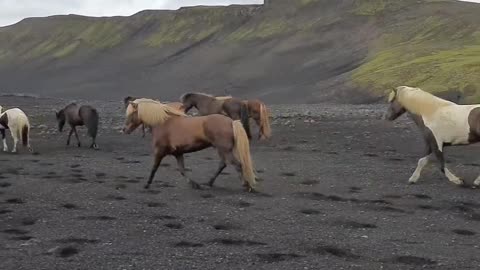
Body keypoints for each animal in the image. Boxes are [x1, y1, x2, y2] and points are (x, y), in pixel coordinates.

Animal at [124, 101, 258, 192]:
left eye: (131, 114)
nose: (124, 130)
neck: (163, 123)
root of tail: (231, 122)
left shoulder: (159, 151)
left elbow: (154, 168)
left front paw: (147, 184)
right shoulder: (178, 153)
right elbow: (182, 170)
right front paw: (194, 184)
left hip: (224, 149)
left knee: (237, 165)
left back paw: (246, 186)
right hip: (222, 149)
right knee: (223, 164)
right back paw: (208, 183)